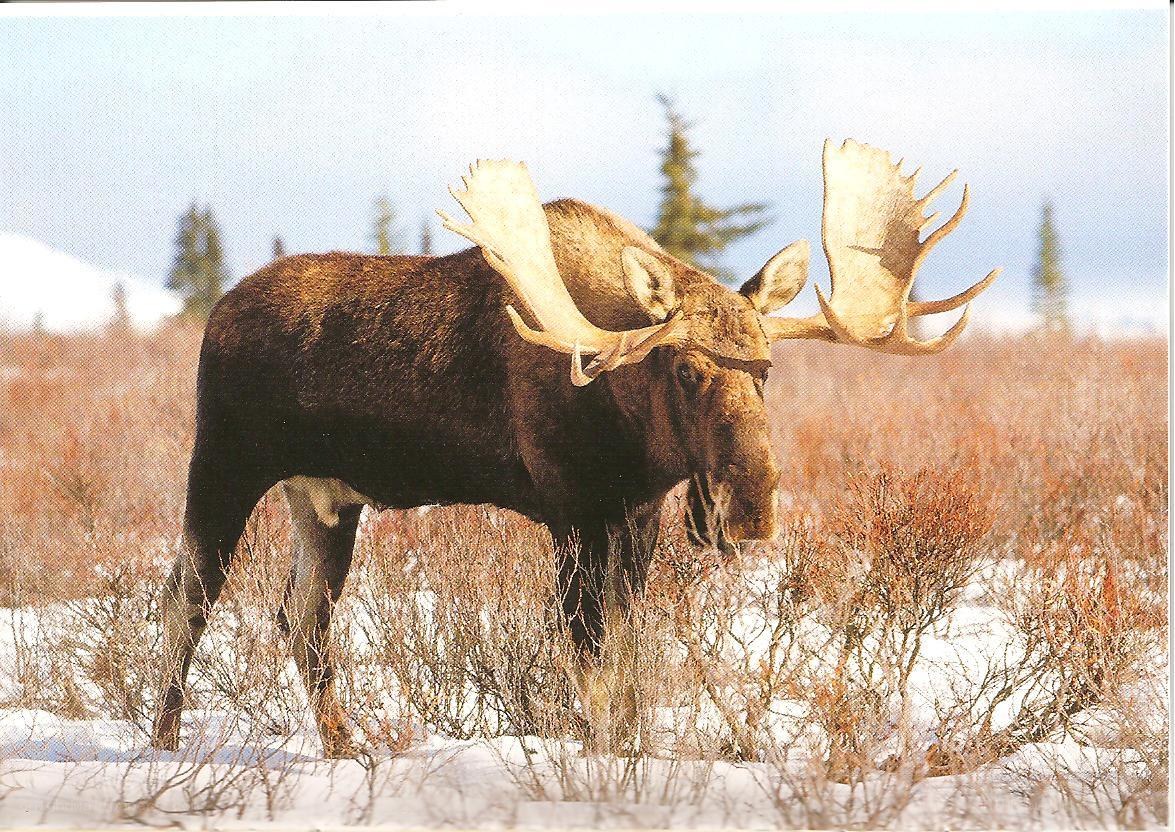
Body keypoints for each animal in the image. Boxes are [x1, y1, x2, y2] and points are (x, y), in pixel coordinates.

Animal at [151, 139, 998, 756]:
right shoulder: (573, 513)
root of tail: (215, 314)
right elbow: (590, 656)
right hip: (223, 464)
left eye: (766, 369)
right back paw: (162, 741)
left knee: (300, 618)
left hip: (325, 498)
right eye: (685, 369)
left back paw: (341, 746)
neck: (628, 417)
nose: (751, 506)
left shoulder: (637, 515)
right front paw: (604, 756)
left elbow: (625, 655)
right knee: (185, 599)